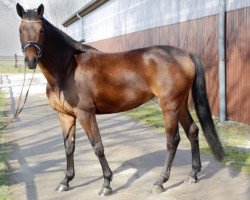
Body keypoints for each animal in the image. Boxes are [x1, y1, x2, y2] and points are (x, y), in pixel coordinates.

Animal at [16, 3, 225, 196]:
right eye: (20, 30)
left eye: (42, 30)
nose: (31, 61)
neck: (67, 69)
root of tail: (186, 54)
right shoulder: (65, 115)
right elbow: (69, 147)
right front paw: (66, 181)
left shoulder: (86, 113)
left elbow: (97, 147)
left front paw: (106, 184)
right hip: (179, 104)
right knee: (193, 131)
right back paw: (193, 173)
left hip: (169, 106)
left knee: (172, 140)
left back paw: (160, 182)